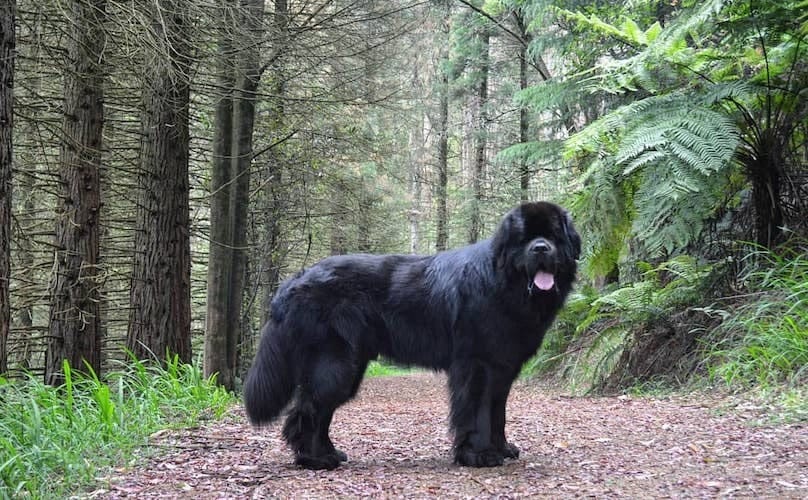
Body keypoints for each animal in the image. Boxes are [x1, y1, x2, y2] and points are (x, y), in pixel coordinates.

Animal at [243, 199, 576, 468]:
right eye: (525, 239)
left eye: (553, 236)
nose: (541, 248)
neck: (503, 281)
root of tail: (294, 280)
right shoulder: (478, 365)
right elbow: (478, 412)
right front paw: (480, 455)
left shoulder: (503, 367)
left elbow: (498, 412)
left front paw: (502, 448)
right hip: (334, 364)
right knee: (308, 410)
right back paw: (315, 460)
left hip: (349, 367)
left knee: (320, 411)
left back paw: (329, 453)